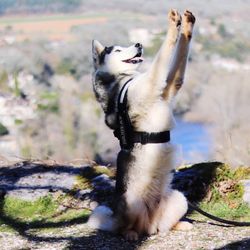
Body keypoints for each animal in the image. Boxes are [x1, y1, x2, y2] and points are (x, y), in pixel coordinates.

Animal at [89, 10, 196, 240]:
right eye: (117, 49)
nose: (138, 44)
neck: (123, 78)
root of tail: (150, 224)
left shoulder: (168, 86)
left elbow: (179, 58)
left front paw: (186, 26)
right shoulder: (153, 82)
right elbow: (163, 55)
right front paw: (173, 25)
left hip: (179, 198)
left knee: (164, 226)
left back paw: (179, 225)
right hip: (130, 202)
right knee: (124, 227)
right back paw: (129, 233)